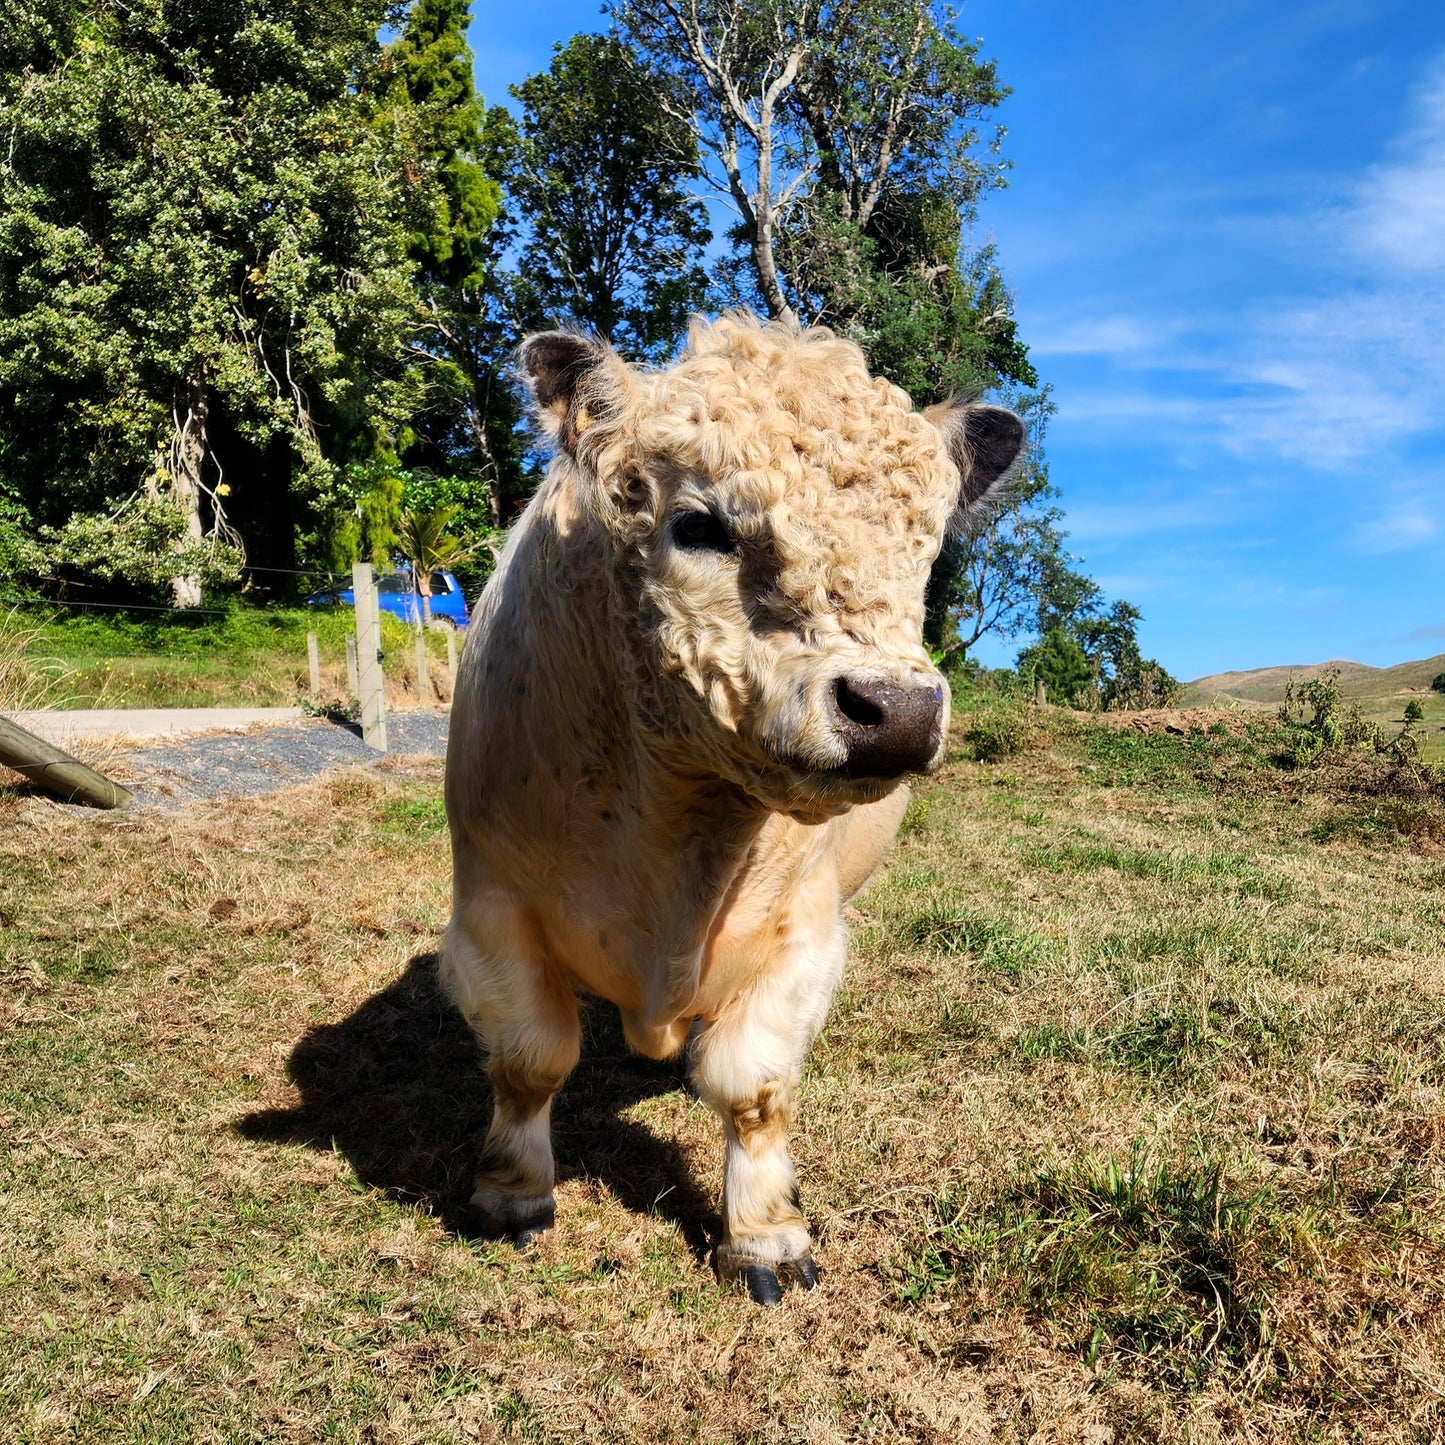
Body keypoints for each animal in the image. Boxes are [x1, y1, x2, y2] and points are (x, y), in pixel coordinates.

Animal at [445, 316, 1023, 1312]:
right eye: (698, 524)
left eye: (923, 548)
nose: (896, 710)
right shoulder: (489, 903)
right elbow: (528, 1058)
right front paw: (511, 1195)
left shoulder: (805, 931)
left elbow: (752, 1086)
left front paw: (763, 1235)